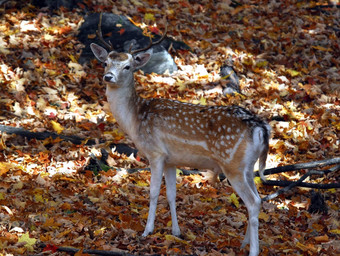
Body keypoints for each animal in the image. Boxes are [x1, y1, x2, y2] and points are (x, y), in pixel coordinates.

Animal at [89, 15, 268, 255]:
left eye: (127, 66)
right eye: (105, 62)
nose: (108, 76)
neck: (135, 120)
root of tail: (261, 128)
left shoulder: (155, 153)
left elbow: (153, 191)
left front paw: (147, 231)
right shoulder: (171, 159)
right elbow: (172, 194)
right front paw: (176, 232)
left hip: (233, 165)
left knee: (253, 202)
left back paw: (253, 250)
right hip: (247, 167)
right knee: (258, 198)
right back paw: (243, 243)